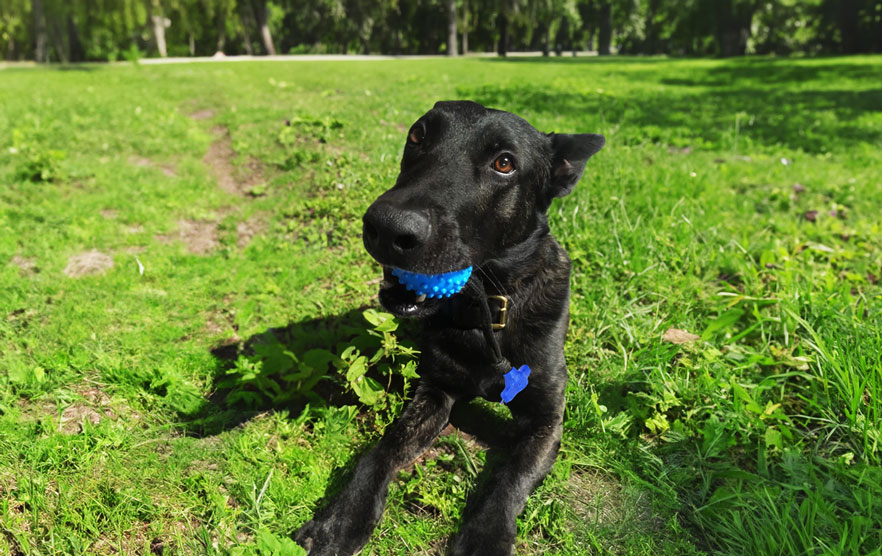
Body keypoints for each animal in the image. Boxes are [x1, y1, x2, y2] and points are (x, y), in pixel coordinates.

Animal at [296, 101, 604, 556]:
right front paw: (340, 520)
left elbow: (510, 480)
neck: (486, 311)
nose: (386, 228)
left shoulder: (547, 420)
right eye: (418, 135)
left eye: (504, 163)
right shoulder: (434, 392)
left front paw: (486, 536)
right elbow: (382, 450)